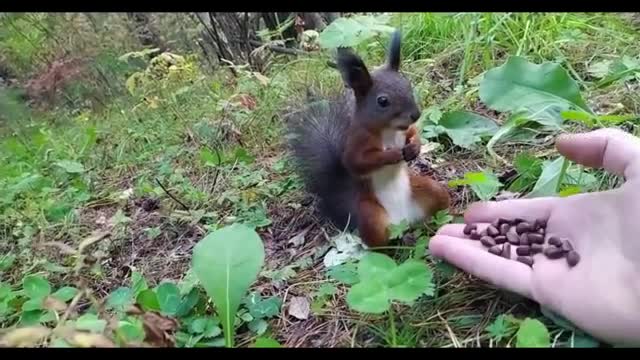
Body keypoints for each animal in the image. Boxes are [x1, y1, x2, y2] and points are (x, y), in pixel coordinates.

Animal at [286, 30, 450, 248]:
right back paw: (401, 240)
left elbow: (413, 134)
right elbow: (357, 162)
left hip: (430, 190)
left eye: (408, 85)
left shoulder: (405, 131)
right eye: (383, 101)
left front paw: (414, 148)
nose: (415, 114)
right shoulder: (358, 140)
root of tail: (404, 220)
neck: (390, 130)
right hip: (371, 216)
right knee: (381, 241)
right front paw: (392, 155)